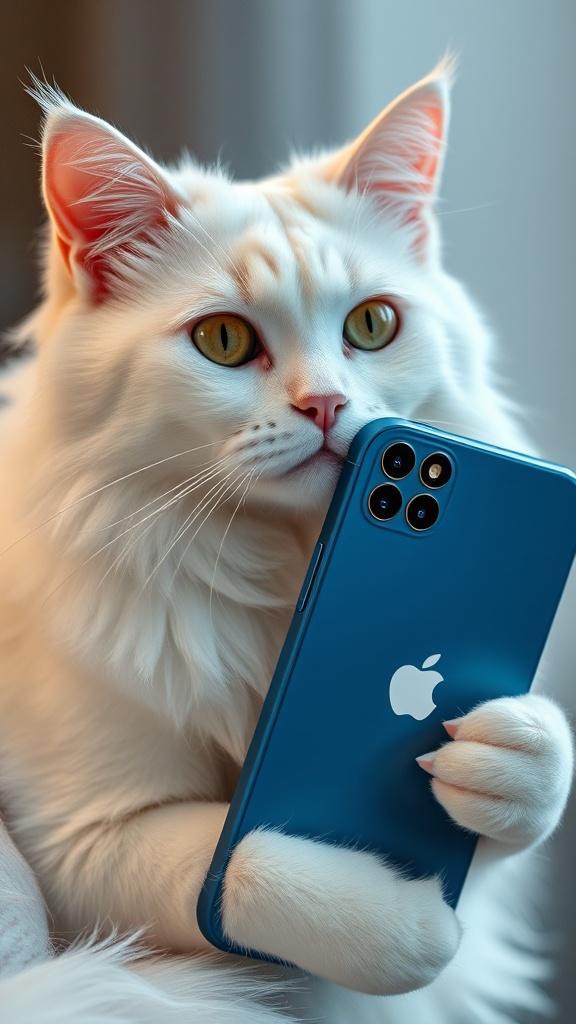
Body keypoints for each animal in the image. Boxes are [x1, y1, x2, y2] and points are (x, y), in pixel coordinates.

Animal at [0, 54, 569, 1024]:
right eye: (224, 340)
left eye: (373, 325)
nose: (328, 406)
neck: (283, 567)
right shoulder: (83, 842)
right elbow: (240, 859)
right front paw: (412, 921)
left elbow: (534, 782)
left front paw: (503, 756)